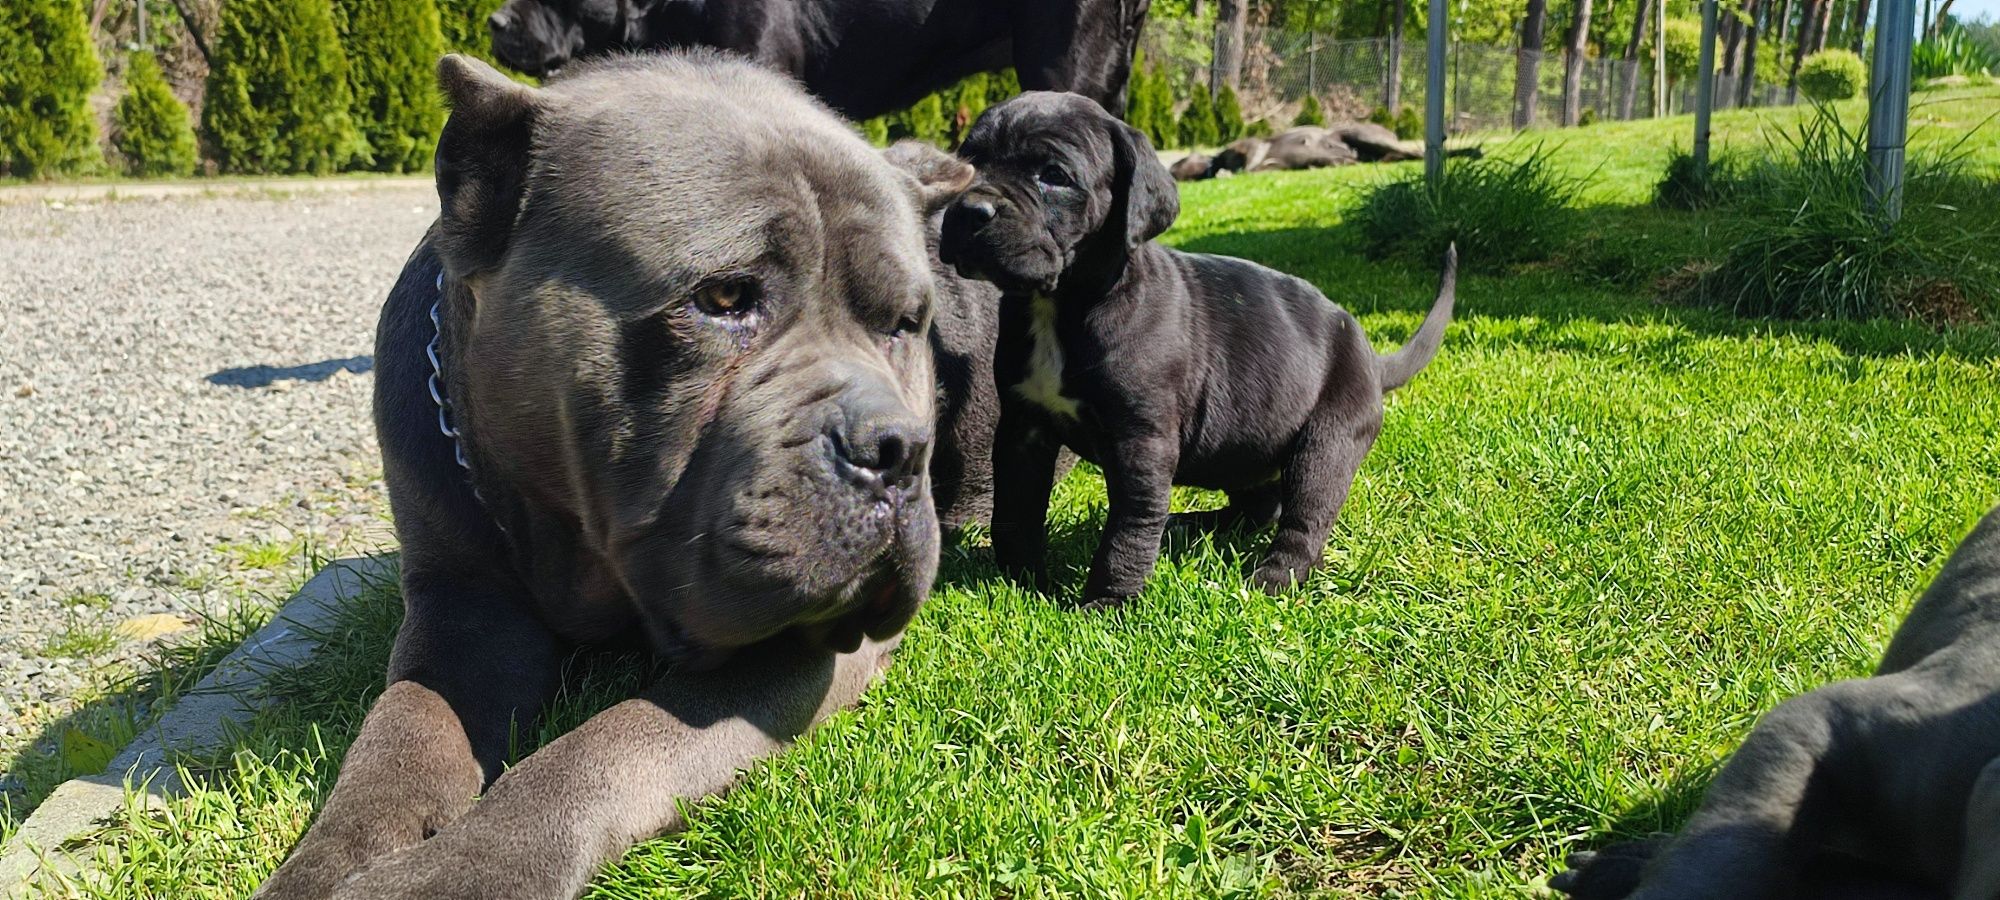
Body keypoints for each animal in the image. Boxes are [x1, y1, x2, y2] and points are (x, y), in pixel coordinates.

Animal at [254, 51, 980, 900]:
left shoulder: (809, 648)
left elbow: (606, 745)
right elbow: (401, 730)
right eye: (723, 296)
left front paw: (455, 870)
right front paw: (328, 863)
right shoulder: (461, 604)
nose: (895, 448)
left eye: (905, 324)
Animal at [936, 91, 1456, 608]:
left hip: (1327, 443)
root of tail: (1370, 355)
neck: (1059, 305)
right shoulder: (1023, 428)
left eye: (1054, 175)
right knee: (1257, 505)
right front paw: (1018, 581)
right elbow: (1015, 509)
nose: (968, 210)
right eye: (969, 161)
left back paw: (1272, 577)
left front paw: (1107, 603)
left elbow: (1130, 526)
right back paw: (1188, 526)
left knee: (1304, 520)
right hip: (1246, 449)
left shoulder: (1142, 441)